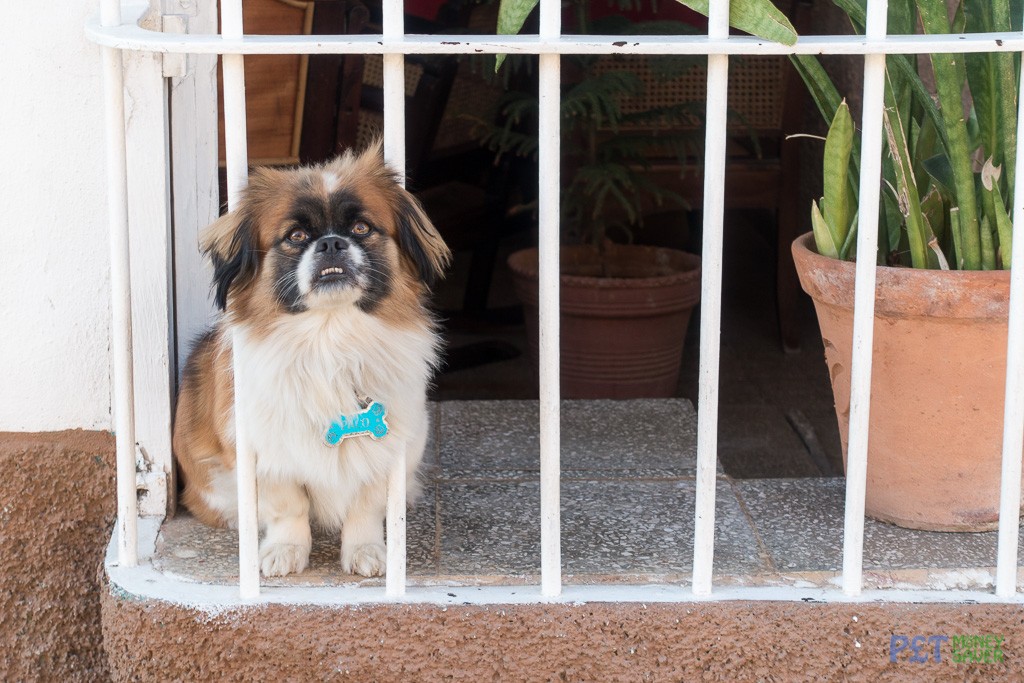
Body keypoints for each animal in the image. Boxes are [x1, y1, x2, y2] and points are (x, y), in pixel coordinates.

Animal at [174, 143, 450, 577]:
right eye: (297, 236)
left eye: (361, 229)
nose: (331, 244)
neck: (330, 338)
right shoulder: (266, 450)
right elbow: (289, 506)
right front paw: (284, 551)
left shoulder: (392, 448)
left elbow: (365, 507)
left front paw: (367, 551)